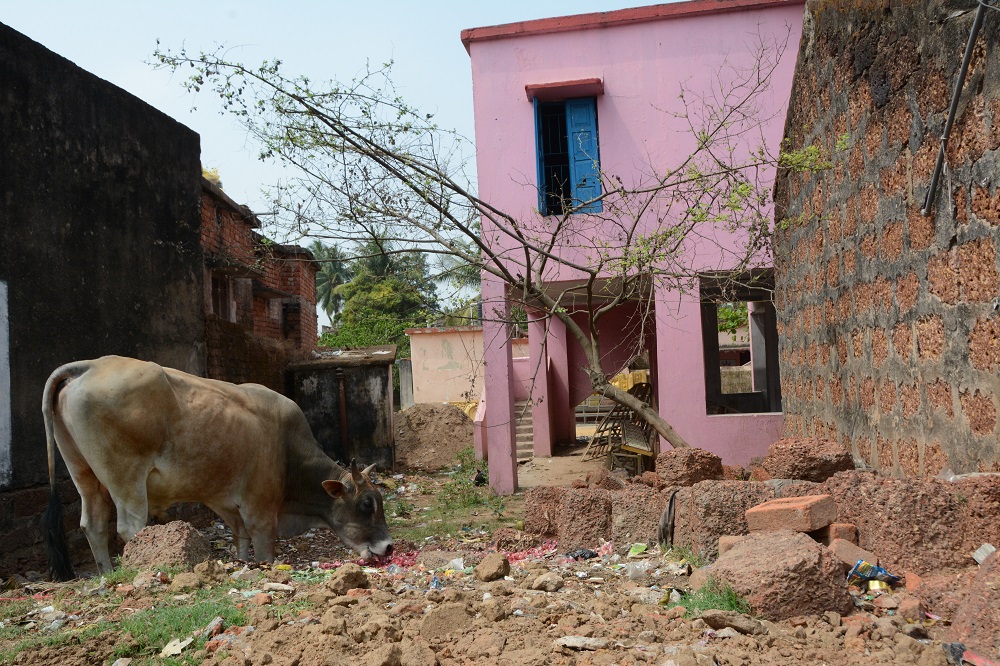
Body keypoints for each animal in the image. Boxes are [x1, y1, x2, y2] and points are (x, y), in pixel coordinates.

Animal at [41, 356, 392, 580]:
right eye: (367, 504)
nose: (388, 547)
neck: (290, 452)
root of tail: (92, 365)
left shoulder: (227, 504)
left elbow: (241, 542)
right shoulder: (260, 508)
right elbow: (263, 546)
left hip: (85, 476)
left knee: (93, 525)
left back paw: (107, 575)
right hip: (126, 480)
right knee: (131, 528)